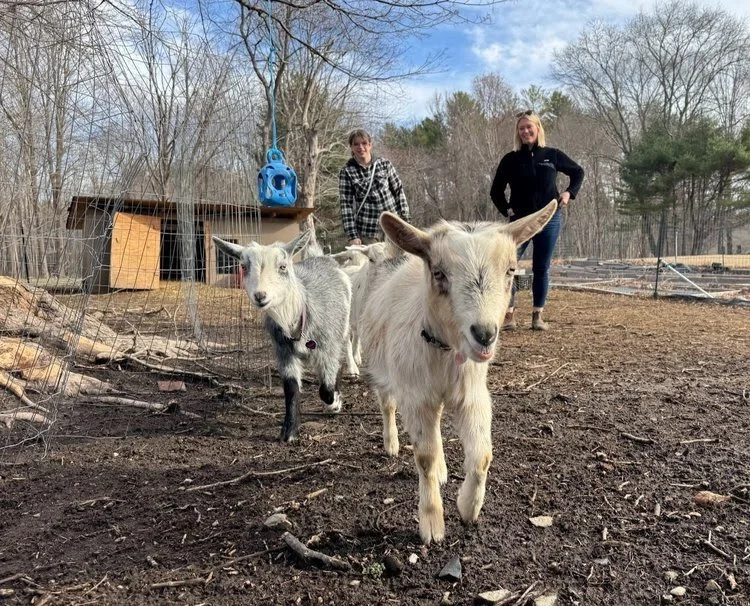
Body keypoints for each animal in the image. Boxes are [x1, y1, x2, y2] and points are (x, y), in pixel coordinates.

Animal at [212, 231, 358, 442]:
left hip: (342, 327)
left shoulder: (327, 346)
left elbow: (326, 388)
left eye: (282, 266)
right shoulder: (283, 350)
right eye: (244, 267)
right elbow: (290, 388)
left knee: (341, 356)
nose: (260, 296)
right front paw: (288, 431)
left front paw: (334, 403)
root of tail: (321, 257)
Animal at [360, 200, 558, 544]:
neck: (444, 350)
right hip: (381, 368)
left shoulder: (473, 395)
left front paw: (468, 509)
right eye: (438, 273)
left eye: (510, 270)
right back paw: (392, 444)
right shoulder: (416, 396)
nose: (484, 334)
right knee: (387, 406)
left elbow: (482, 457)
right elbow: (423, 457)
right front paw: (432, 525)